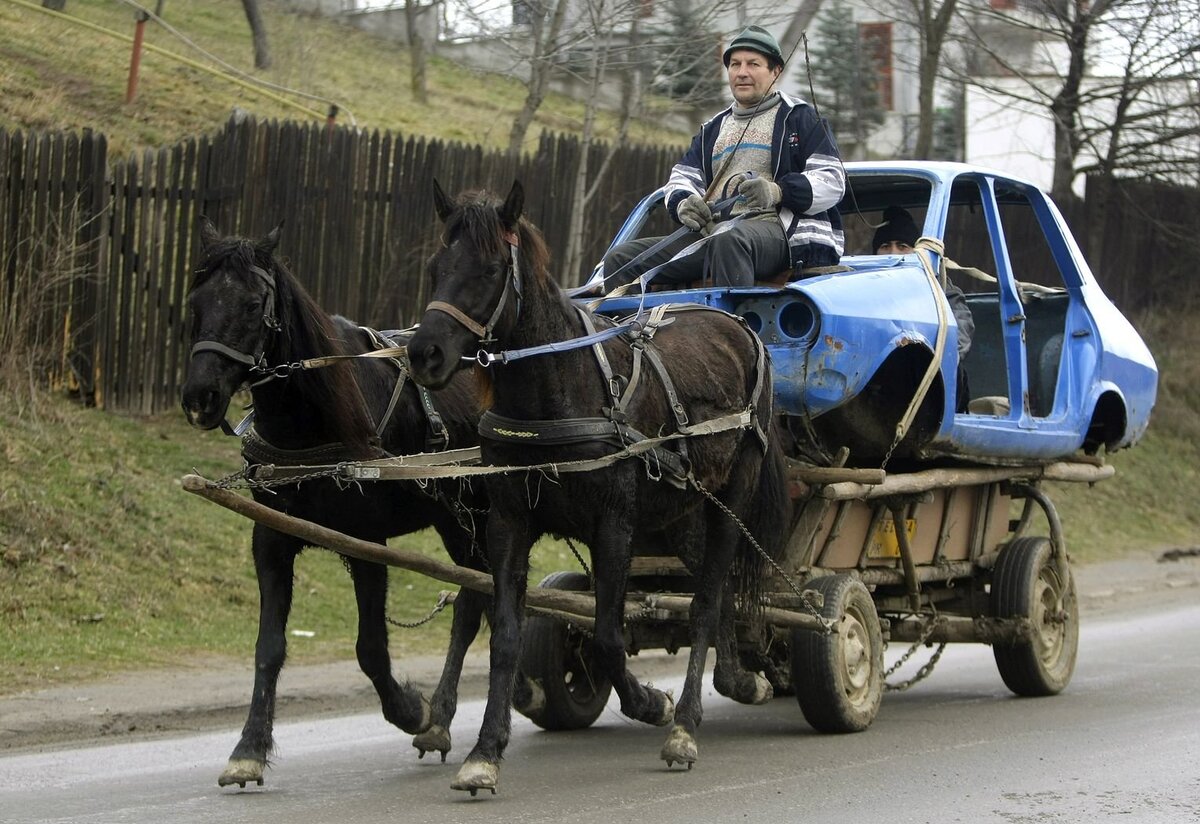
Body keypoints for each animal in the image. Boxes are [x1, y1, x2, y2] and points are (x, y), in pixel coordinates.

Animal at [180, 219, 537, 786]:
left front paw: (411, 709)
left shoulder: (367, 541)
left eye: (254, 303)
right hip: (457, 522)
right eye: (197, 299)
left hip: (482, 517)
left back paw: (447, 712)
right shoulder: (271, 539)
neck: (312, 418)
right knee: (473, 599)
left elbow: (370, 648)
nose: (200, 397)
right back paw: (452, 715)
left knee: (478, 603)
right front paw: (249, 747)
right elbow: (268, 647)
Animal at [408, 183, 792, 796]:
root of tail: (741, 328)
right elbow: (506, 634)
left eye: (489, 269)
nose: (425, 355)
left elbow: (610, 634)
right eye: (436, 268)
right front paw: (485, 751)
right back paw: (738, 679)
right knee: (722, 592)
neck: (559, 390)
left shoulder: (613, 526)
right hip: (683, 514)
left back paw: (684, 725)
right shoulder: (509, 524)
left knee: (708, 600)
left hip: (731, 501)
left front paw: (649, 702)